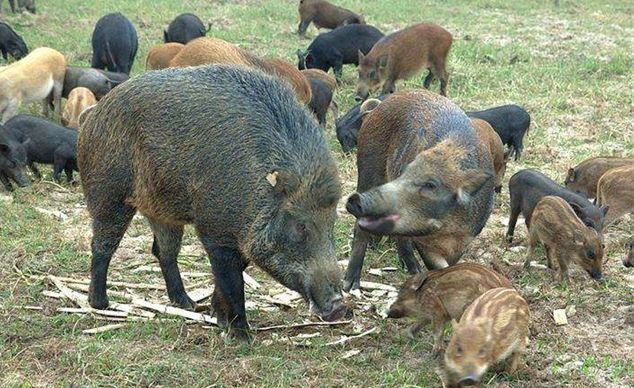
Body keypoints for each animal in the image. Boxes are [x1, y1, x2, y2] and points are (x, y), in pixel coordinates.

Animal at [382, 262, 512, 356]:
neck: (421, 295)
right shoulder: (427, 315)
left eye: (401, 295)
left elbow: (437, 332)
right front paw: (403, 335)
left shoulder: (437, 311)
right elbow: (418, 324)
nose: (388, 312)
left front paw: (433, 354)